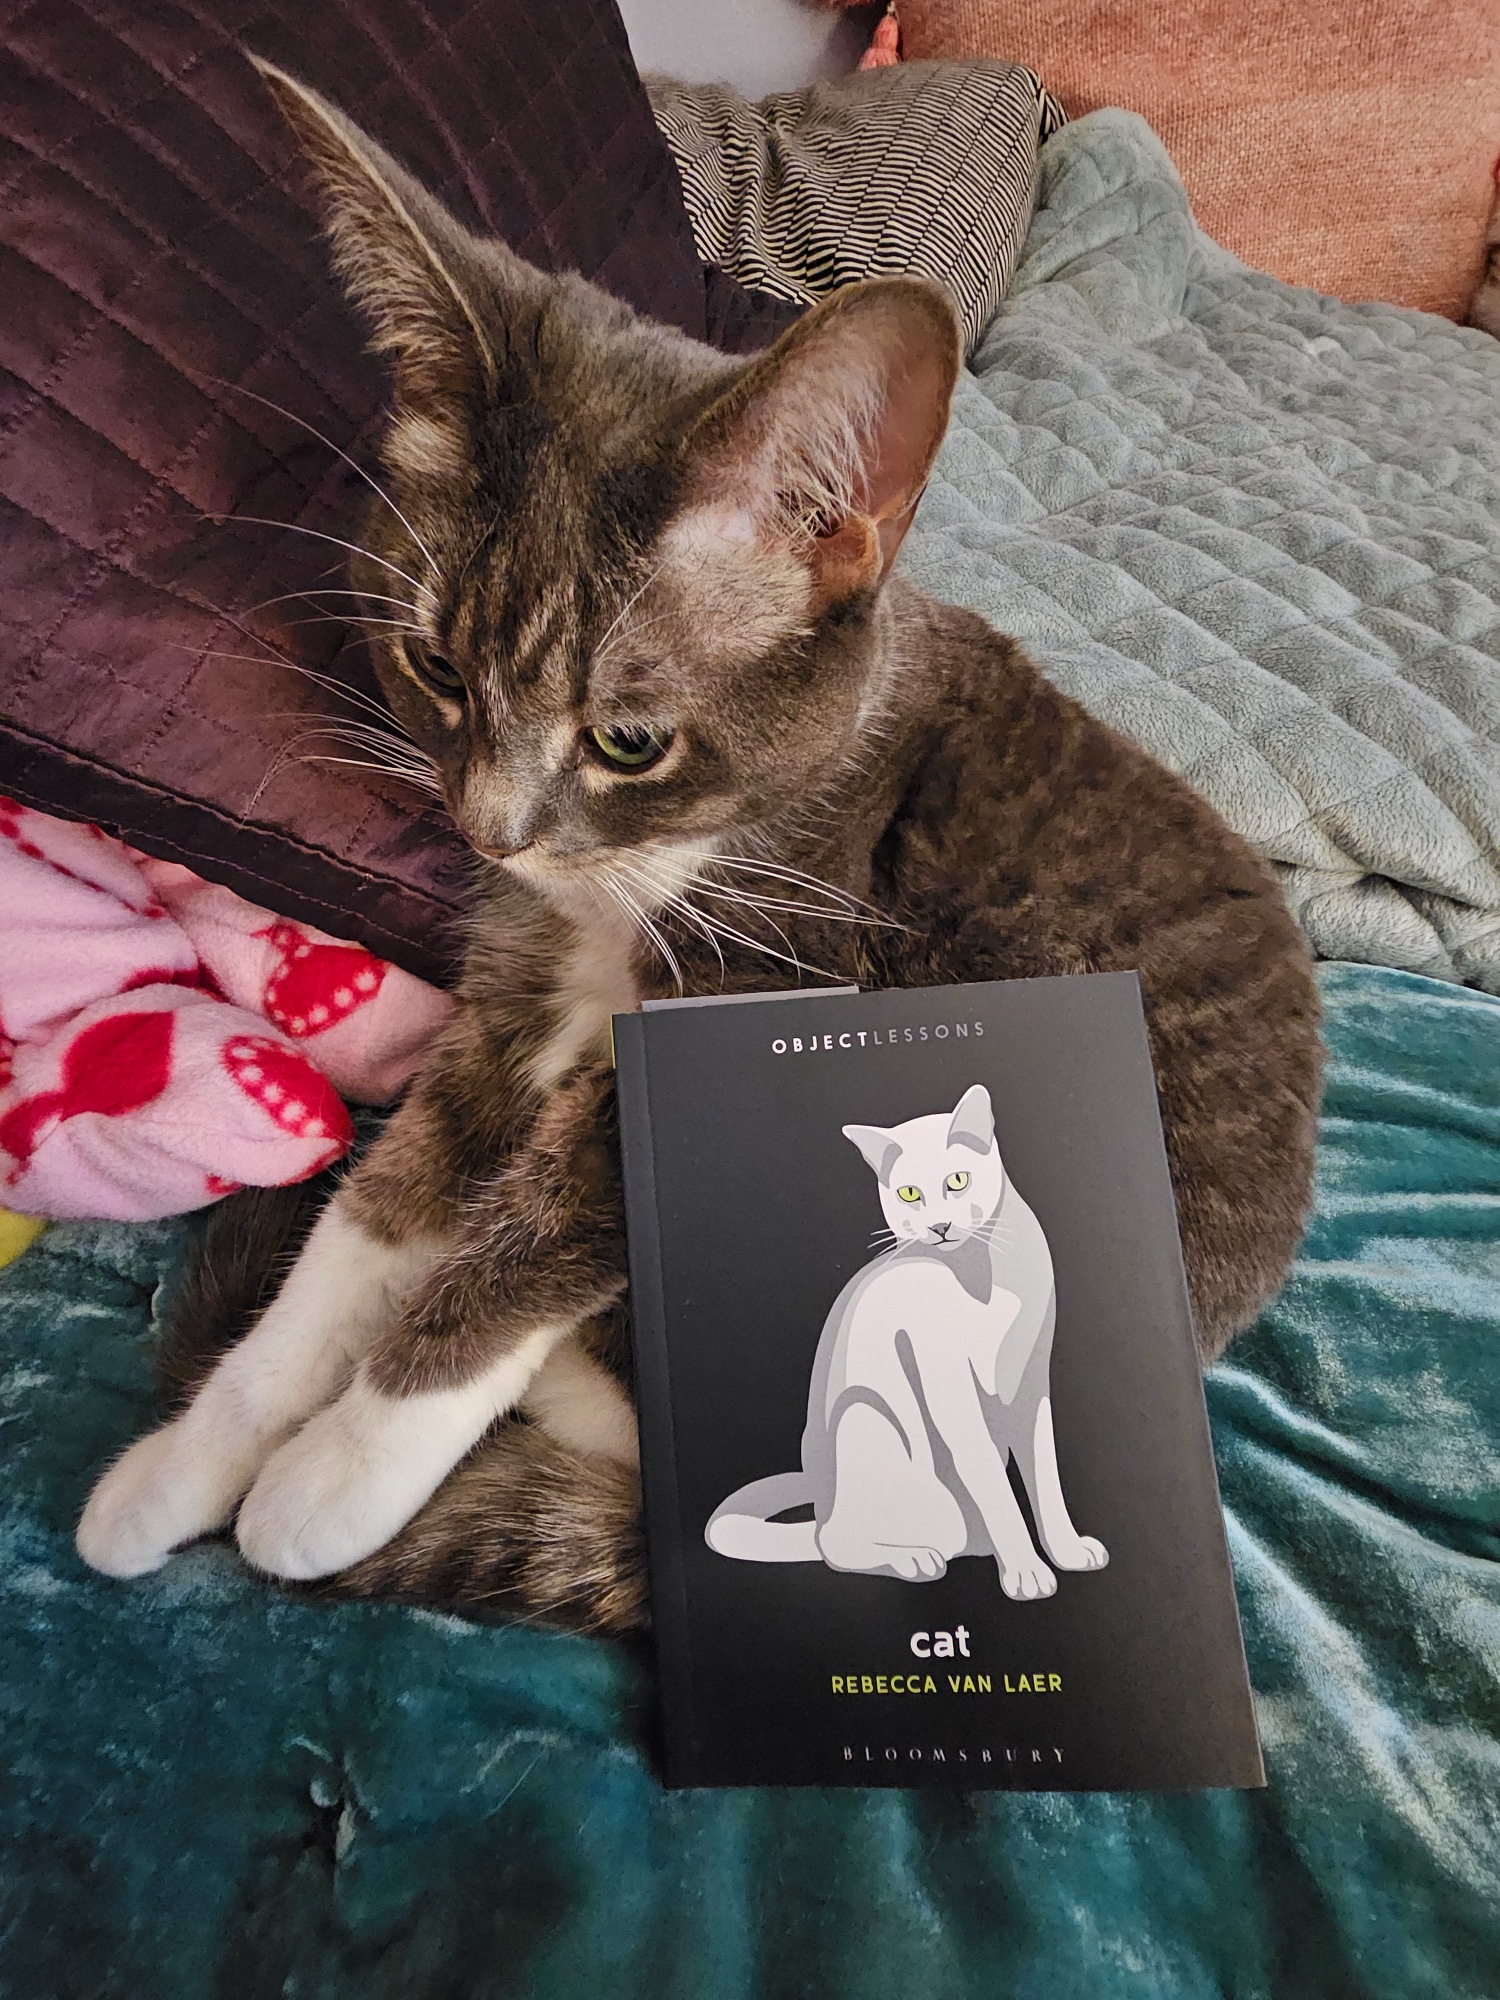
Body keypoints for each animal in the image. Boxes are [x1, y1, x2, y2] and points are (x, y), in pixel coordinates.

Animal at [706, 1084, 1107, 1601]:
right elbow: (994, 1481)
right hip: (866, 1414)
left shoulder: (1031, 1384)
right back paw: (916, 1559)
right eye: (910, 1194)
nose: (938, 1227)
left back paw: (978, 1544)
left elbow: (1045, 1476)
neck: (986, 1278)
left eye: (957, 1181)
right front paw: (1024, 1571)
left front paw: (1068, 1552)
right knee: (838, 1545)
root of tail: (821, 1512)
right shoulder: (949, 1384)